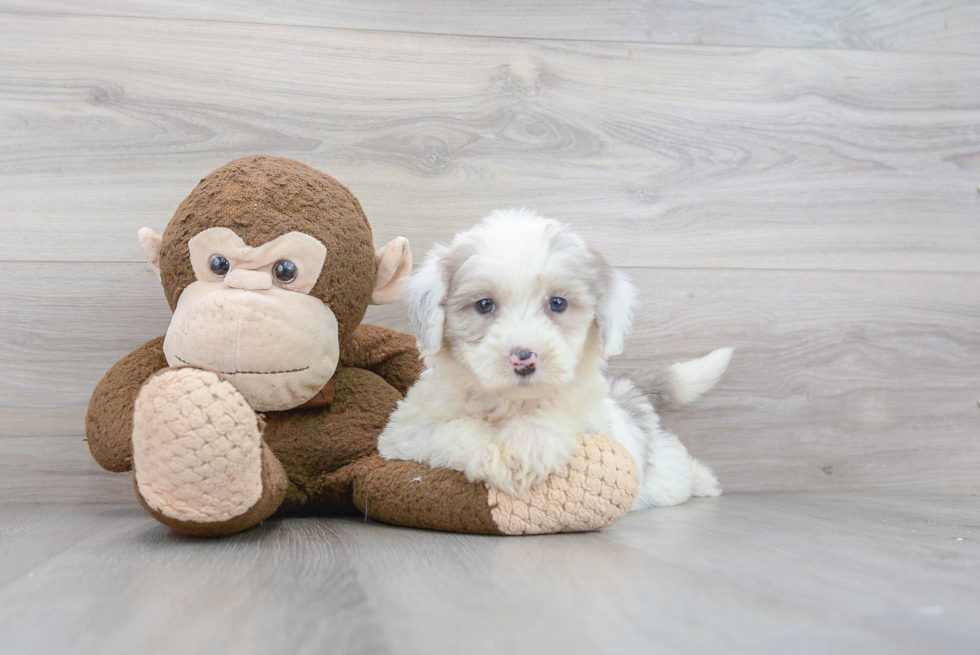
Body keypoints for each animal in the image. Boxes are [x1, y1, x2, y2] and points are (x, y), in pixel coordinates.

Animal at [378, 208, 732, 510]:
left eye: (558, 303)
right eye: (484, 305)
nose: (524, 358)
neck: (511, 403)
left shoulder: (598, 425)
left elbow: (558, 414)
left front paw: (529, 444)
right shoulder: (404, 433)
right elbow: (453, 428)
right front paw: (494, 453)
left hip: (662, 471)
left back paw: (705, 481)